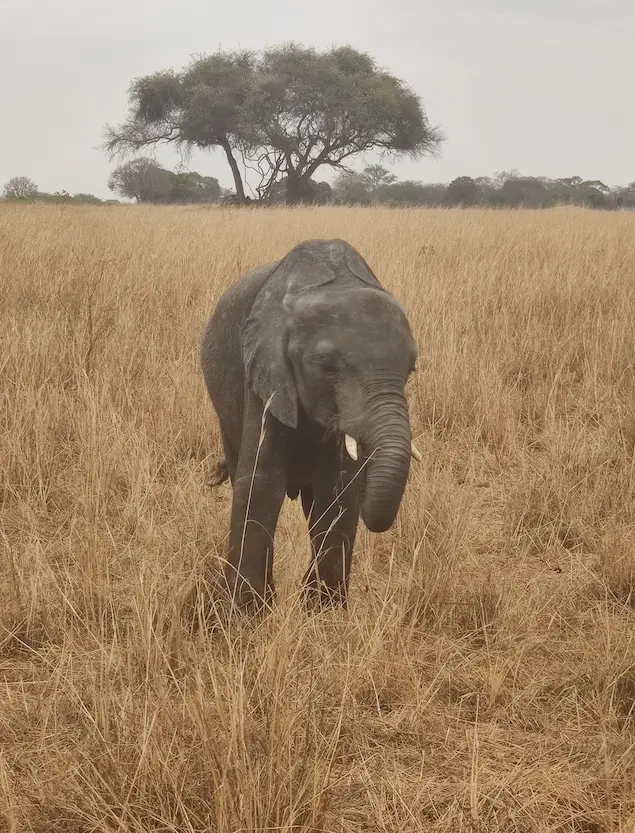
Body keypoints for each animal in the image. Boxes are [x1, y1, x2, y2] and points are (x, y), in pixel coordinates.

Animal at [200, 238, 421, 610]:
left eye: (411, 368)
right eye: (325, 365)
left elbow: (337, 489)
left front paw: (324, 611)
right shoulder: (265, 372)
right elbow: (260, 482)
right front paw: (247, 613)